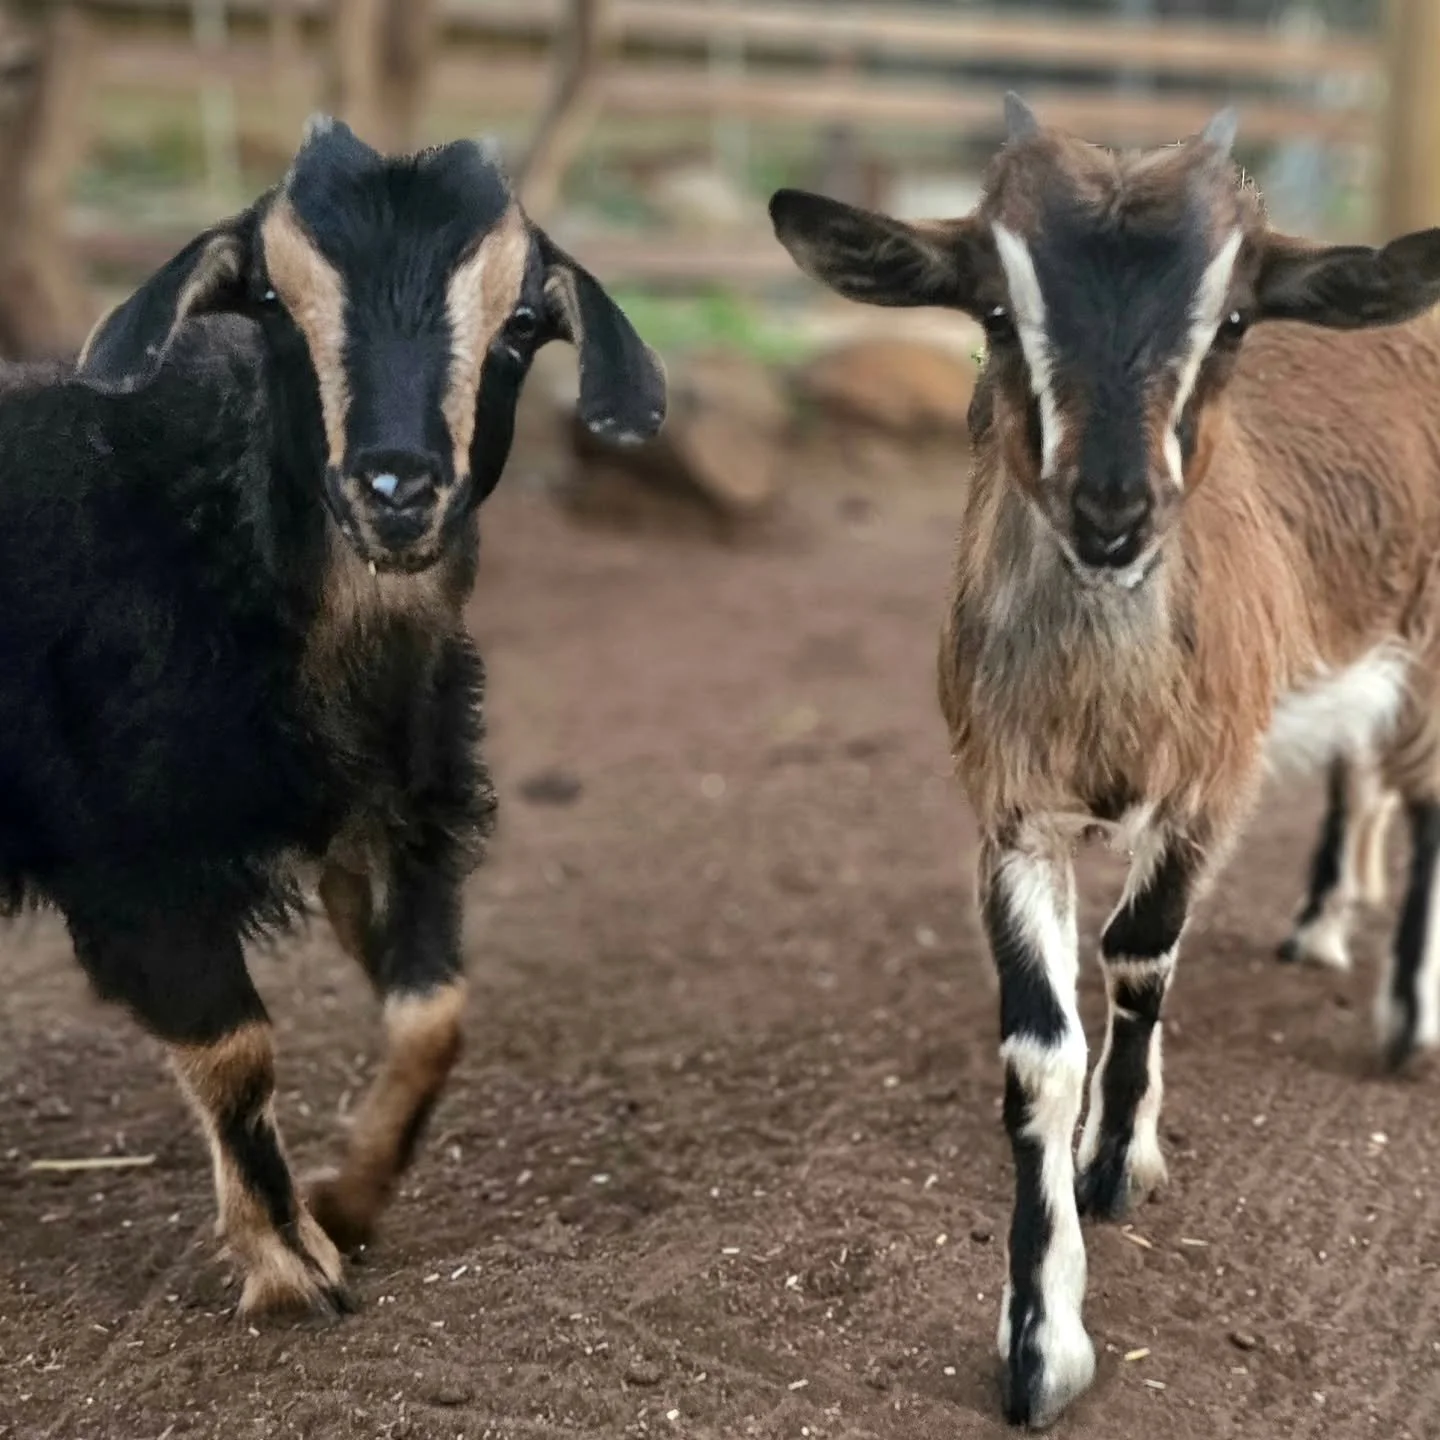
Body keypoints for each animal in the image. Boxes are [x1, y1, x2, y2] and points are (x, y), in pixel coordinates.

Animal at [4, 115, 664, 1317]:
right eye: (272, 299)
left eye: (522, 324)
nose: (397, 486)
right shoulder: (133, 859)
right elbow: (237, 1051)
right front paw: (289, 1264)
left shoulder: (393, 815)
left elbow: (433, 1014)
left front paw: (347, 1203)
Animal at [768, 95, 1440, 1428]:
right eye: (992, 310)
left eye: (1231, 320)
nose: (1113, 511)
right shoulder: (1010, 809)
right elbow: (1040, 1048)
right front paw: (1041, 1344)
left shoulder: (1211, 782)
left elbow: (1141, 958)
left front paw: (1118, 1165)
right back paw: (1320, 925)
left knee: (1431, 798)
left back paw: (1406, 1014)